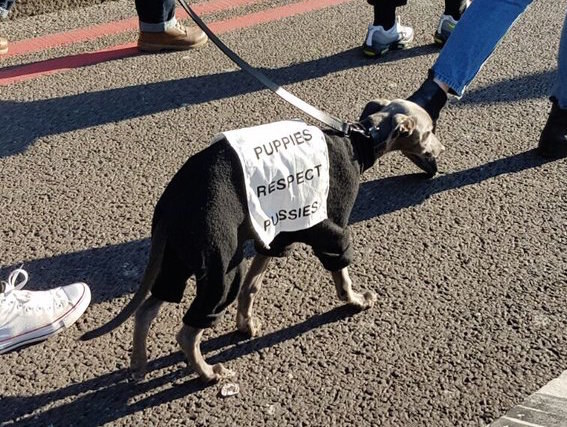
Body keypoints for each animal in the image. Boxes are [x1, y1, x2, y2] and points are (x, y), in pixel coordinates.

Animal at [81, 99, 444, 384]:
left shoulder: (276, 232)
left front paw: (245, 325)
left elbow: (253, 286)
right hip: (220, 267)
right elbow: (340, 272)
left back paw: (139, 365)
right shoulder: (328, 229)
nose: (442, 150)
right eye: (429, 131)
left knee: (145, 311)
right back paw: (208, 374)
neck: (361, 140)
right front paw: (354, 300)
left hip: (178, 260)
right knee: (187, 332)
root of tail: (169, 205)